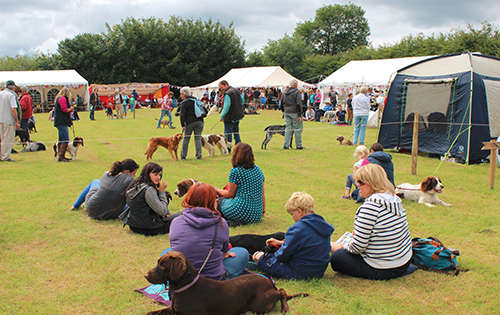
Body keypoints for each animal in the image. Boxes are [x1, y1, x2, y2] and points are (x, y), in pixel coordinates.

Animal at [143, 252, 308, 315]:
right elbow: (154, 312)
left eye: (163, 265)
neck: (184, 287)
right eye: (158, 262)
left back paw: (285, 307)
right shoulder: (174, 310)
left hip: (259, 305)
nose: (145, 275)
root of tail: (268, 281)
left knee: (282, 291)